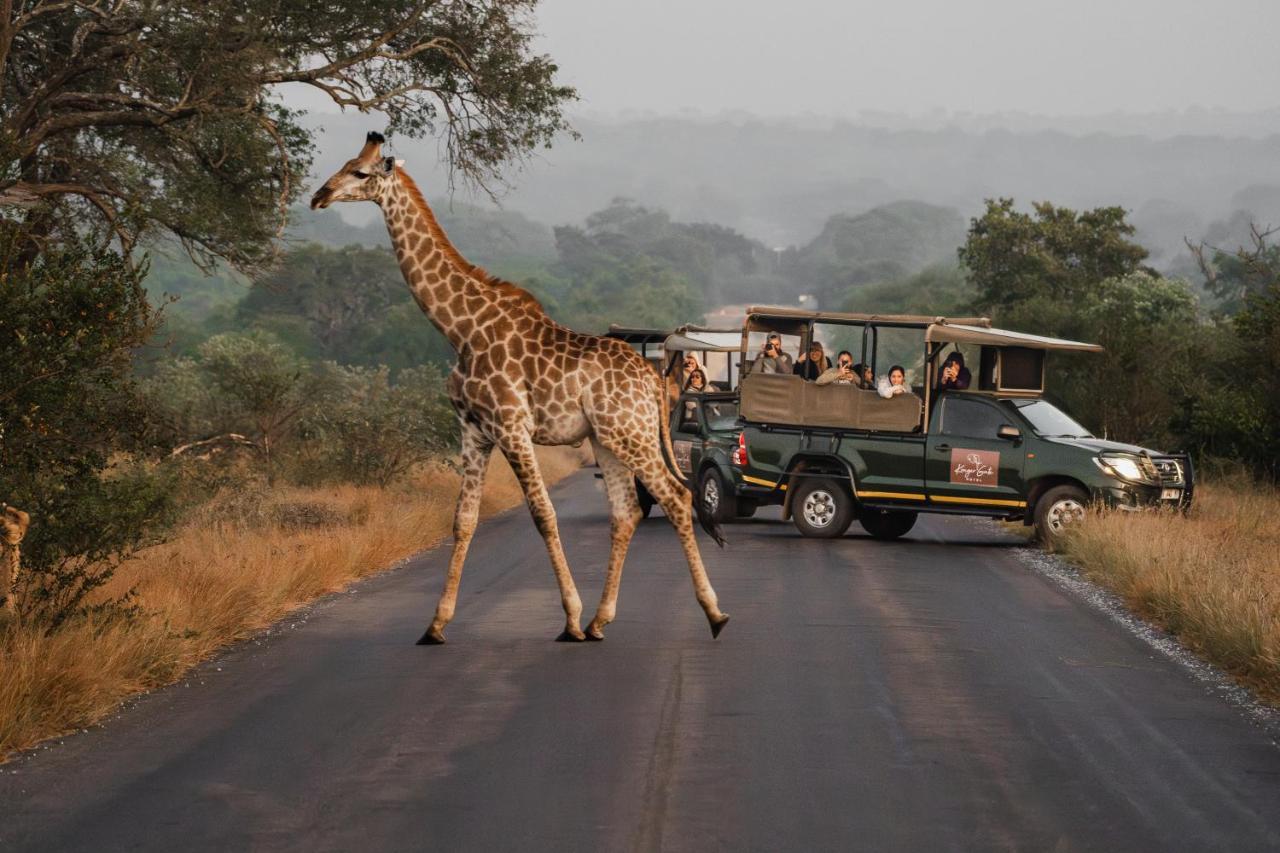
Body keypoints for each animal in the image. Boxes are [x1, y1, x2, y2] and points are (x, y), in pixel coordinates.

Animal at [311, 131, 732, 637]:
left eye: (359, 172)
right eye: (344, 164)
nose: (319, 196)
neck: (460, 330)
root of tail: (652, 380)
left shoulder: (512, 428)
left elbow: (544, 515)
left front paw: (569, 618)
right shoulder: (473, 430)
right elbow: (464, 519)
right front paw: (436, 625)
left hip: (630, 435)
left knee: (675, 496)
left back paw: (713, 614)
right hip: (607, 439)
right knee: (626, 511)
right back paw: (601, 619)